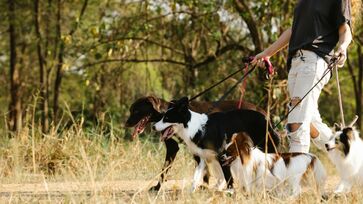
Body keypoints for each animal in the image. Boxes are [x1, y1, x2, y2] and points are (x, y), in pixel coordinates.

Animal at [152, 96, 280, 190]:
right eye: (162, 116)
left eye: (167, 118)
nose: (153, 127)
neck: (197, 129)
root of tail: (267, 119)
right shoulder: (200, 159)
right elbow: (195, 180)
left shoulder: (223, 156)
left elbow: (228, 179)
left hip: (266, 148)